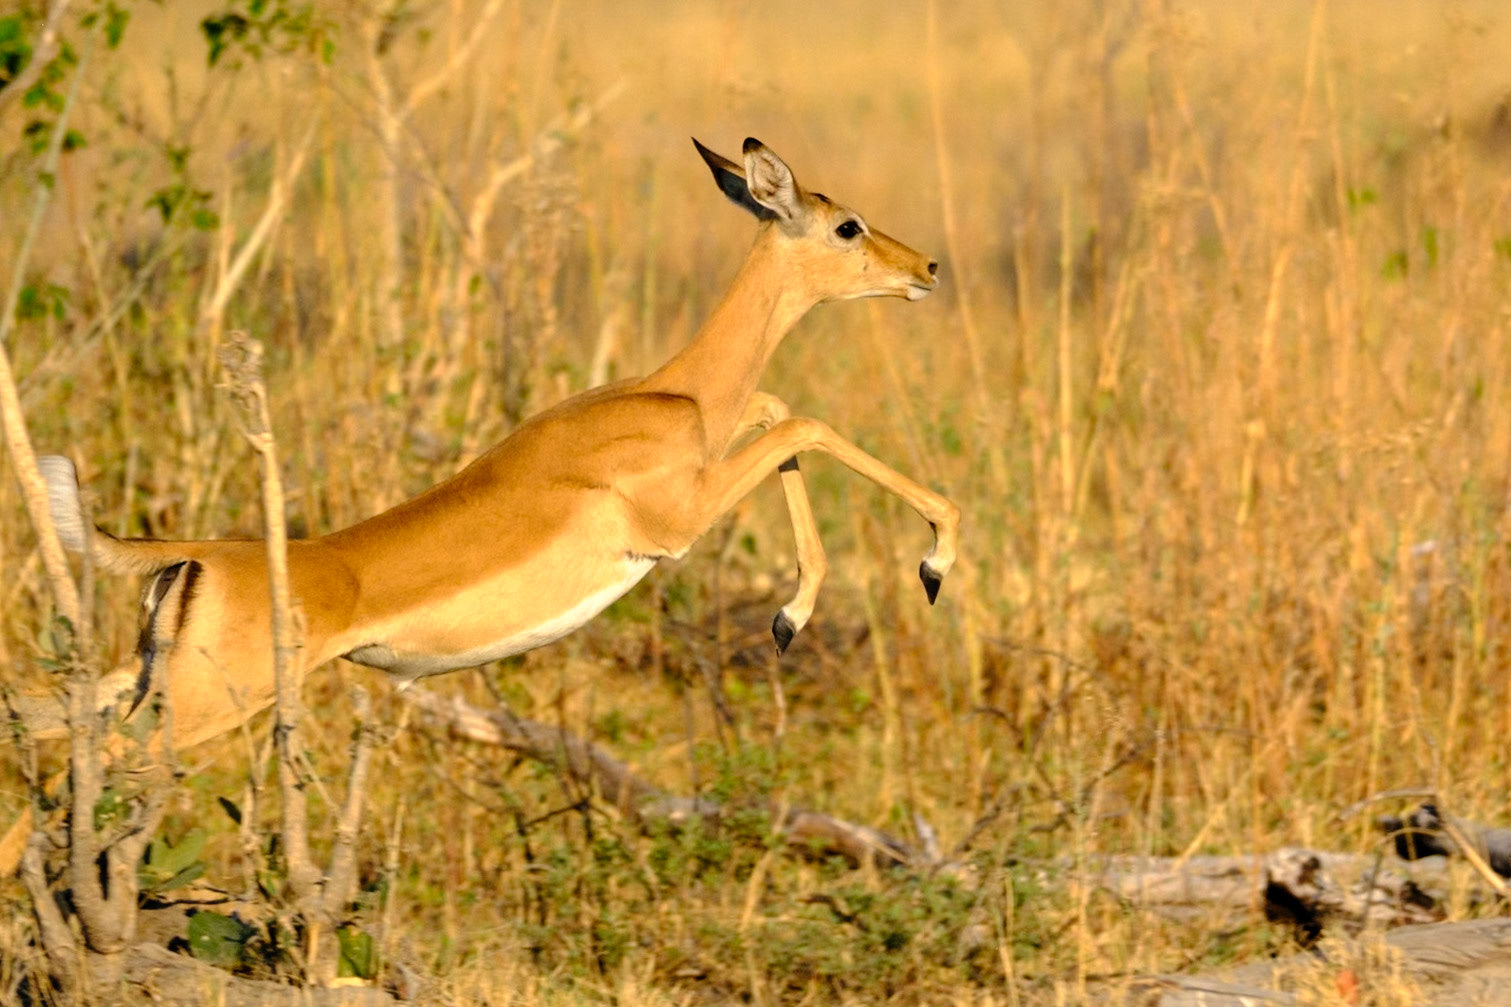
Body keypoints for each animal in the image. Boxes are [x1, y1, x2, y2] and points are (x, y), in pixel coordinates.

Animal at [19, 137, 959, 754]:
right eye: (846, 226)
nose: (927, 268)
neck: (677, 391)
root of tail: (194, 558)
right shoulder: (676, 523)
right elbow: (803, 421)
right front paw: (924, 566)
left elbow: (776, 407)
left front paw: (793, 614)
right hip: (204, 701)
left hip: (143, 680)